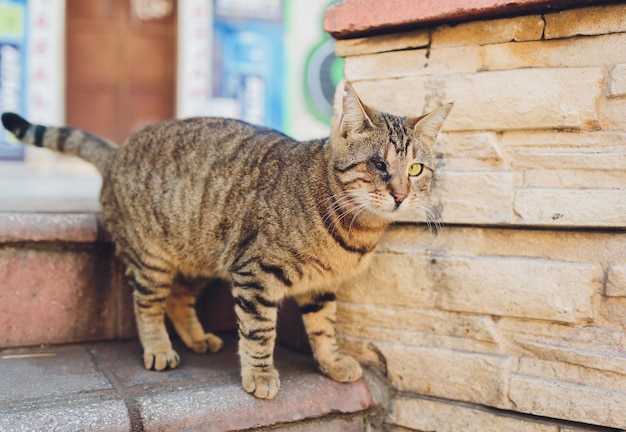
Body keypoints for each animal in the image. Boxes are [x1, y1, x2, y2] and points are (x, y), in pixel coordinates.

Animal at [0, 82, 448, 400]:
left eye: (416, 169)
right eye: (378, 164)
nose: (401, 195)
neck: (354, 232)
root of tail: (117, 150)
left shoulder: (320, 287)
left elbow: (323, 329)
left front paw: (332, 362)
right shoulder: (255, 274)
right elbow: (259, 332)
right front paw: (261, 375)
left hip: (203, 257)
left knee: (178, 301)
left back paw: (197, 338)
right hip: (152, 260)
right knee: (147, 306)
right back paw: (159, 348)